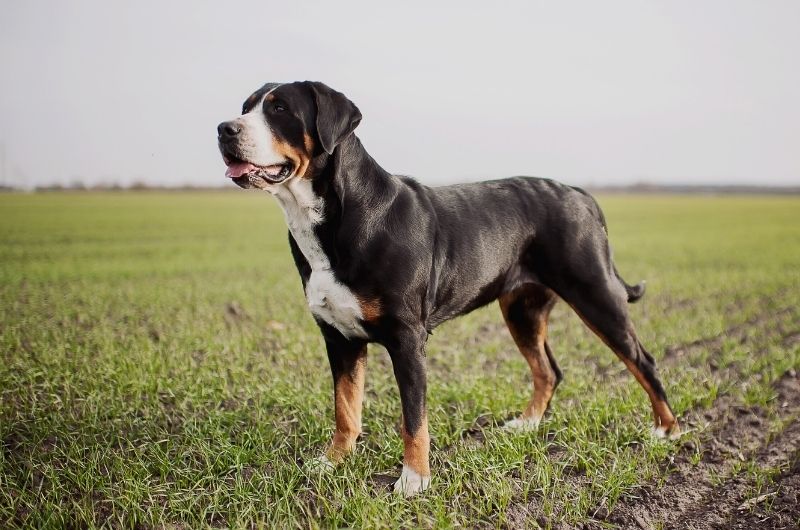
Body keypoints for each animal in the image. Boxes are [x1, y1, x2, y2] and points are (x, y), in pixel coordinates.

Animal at [216, 79, 680, 496]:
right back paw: (526, 424)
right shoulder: (339, 338)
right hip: (522, 310)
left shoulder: (407, 339)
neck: (328, 220)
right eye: (246, 107)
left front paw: (413, 480)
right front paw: (332, 462)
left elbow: (413, 419)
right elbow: (345, 408)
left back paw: (666, 430)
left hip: (595, 293)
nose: (224, 128)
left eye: (279, 109)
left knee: (643, 361)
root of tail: (578, 193)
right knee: (549, 370)